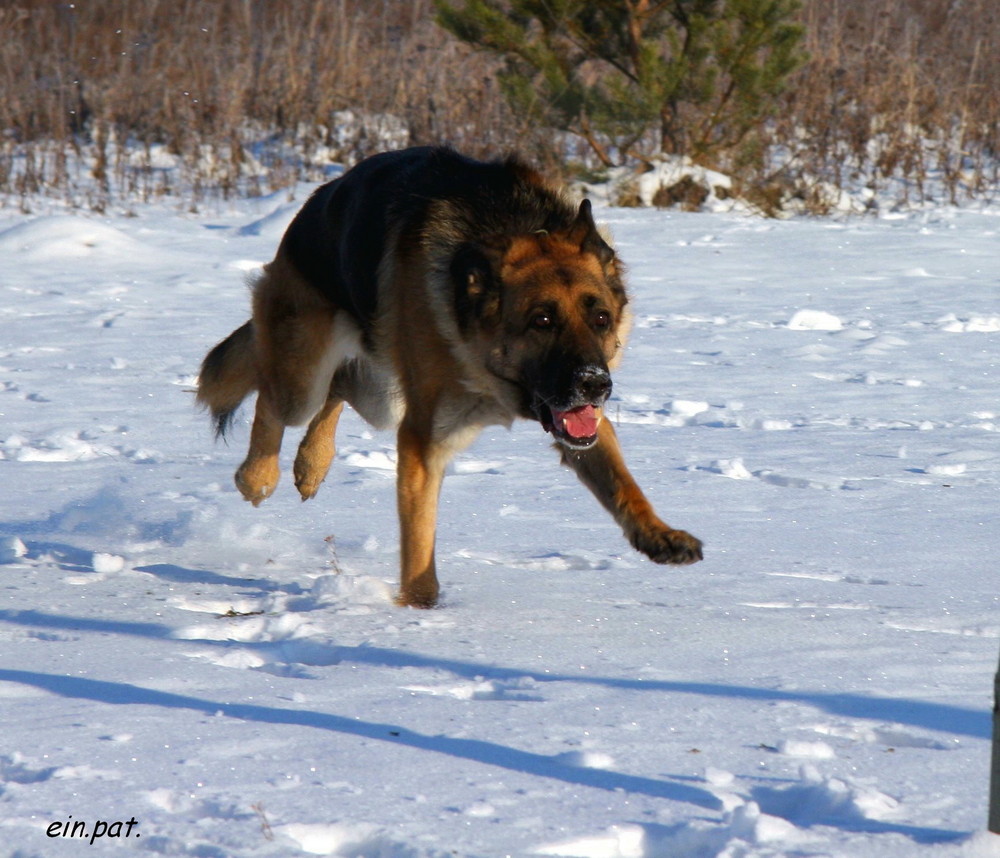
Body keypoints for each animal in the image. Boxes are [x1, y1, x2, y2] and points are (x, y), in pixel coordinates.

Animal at [197, 147, 704, 604]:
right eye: (541, 321)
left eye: (600, 319)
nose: (597, 384)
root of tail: (309, 210)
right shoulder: (424, 440)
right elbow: (420, 543)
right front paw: (420, 613)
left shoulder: (581, 422)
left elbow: (620, 482)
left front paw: (658, 534)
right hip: (304, 378)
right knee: (275, 398)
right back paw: (258, 476)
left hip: (380, 393)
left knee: (337, 388)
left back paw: (311, 464)